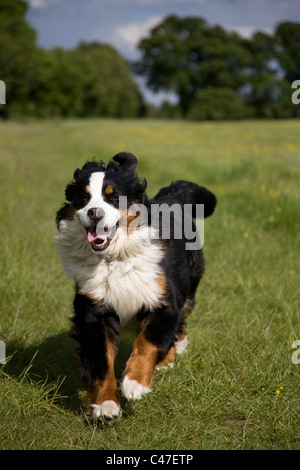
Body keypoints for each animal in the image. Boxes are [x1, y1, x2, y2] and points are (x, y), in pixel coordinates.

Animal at [55, 152, 217, 420]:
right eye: (83, 198)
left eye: (113, 197)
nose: (94, 213)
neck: (115, 259)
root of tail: (172, 195)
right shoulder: (94, 310)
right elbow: (101, 360)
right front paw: (107, 404)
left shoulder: (163, 301)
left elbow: (148, 343)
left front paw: (135, 383)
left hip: (189, 285)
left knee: (181, 320)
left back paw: (170, 357)